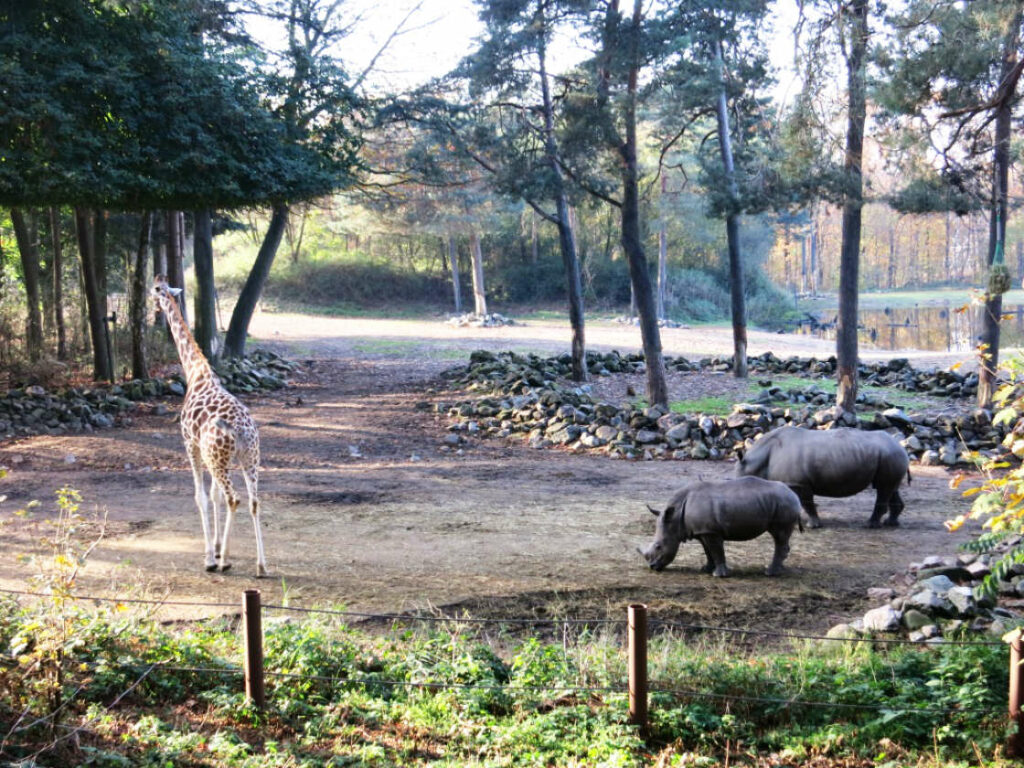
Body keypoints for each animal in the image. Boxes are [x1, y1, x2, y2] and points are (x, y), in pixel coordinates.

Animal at [151, 274, 270, 577]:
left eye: (155, 290)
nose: (153, 305)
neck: (196, 373)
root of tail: (241, 431)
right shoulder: (211, 456)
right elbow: (214, 495)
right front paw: (215, 547)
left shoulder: (190, 444)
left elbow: (201, 497)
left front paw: (210, 557)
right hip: (247, 458)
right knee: (253, 501)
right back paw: (261, 565)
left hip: (219, 458)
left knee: (234, 498)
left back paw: (225, 561)